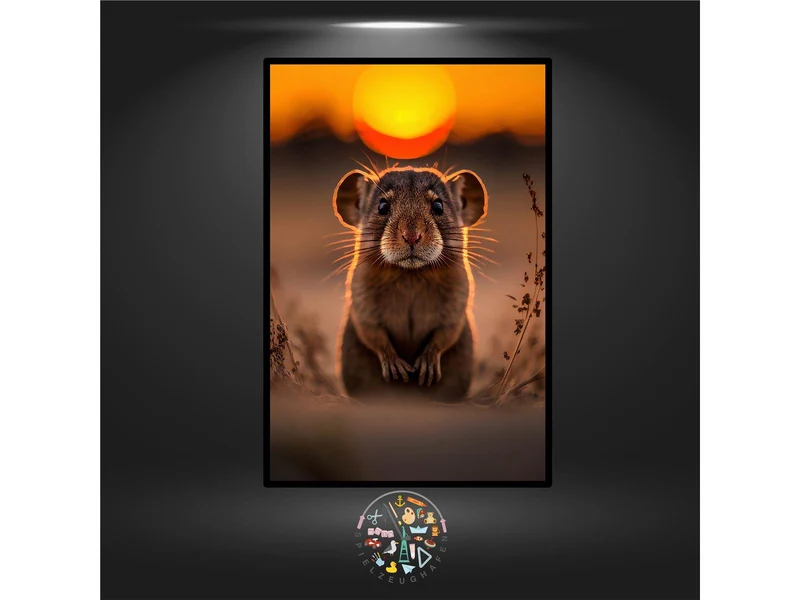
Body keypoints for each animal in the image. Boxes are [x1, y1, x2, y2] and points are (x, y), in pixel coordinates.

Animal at [331, 165, 488, 402]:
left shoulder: (457, 306)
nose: (412, 237)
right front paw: (399, 369)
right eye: (383, 206)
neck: (411, 275)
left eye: (438, 206)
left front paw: (425, 369)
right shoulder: (362, 305)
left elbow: (444, 334)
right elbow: (373, 333)